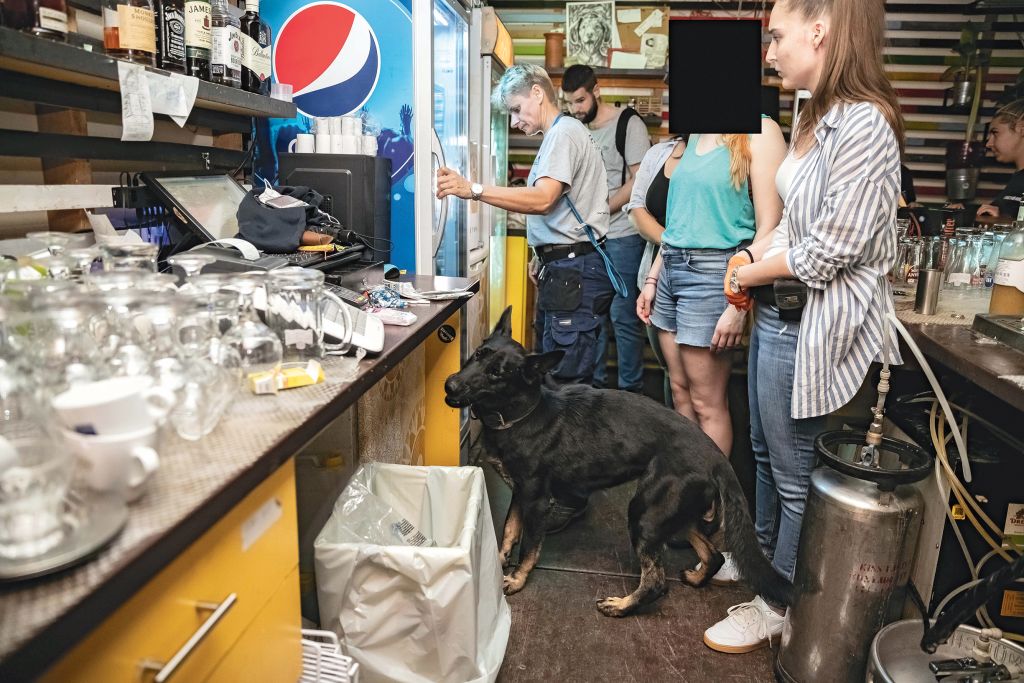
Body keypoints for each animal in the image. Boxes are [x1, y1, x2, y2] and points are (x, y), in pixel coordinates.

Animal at [446, 307, 790, 618]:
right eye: (478, 354)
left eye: (497, 374)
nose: (450, 385)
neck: (523, 413)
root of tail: (715, 454)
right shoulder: (519, 493)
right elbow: (508, 531)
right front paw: (498, 560)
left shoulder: (536, 500)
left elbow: (528, 544)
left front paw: (516, 579)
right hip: (670, 513)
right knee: (713, 554)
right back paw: (695, 578)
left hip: (644, 513)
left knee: (656, 581)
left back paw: (621, 606)